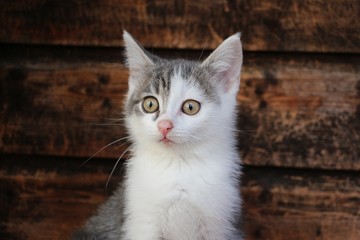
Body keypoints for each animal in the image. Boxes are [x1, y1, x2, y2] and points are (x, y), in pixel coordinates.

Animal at [72, 32, 242, 240]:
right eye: (150, 104)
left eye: (190, 107)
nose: (164, 126)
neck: (178, 166)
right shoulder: (141, 220)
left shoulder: (219, 223)